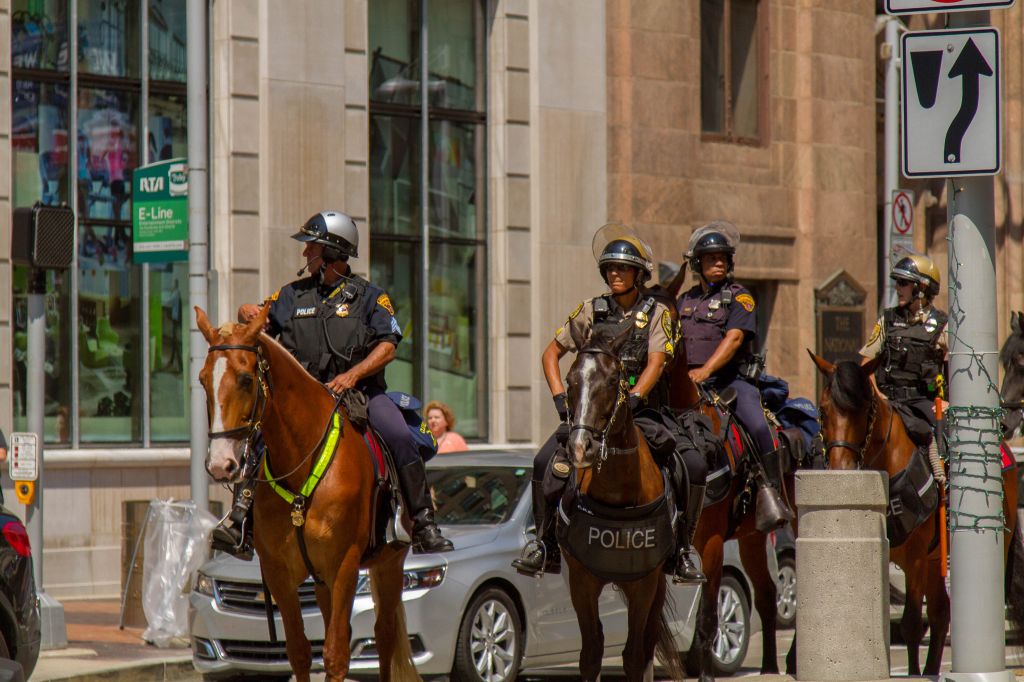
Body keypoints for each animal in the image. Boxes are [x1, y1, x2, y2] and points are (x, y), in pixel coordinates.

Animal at [195, 307, 419, 679]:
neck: (303, 462)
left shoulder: (344, 566)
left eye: (245, 379)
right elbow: (299, 651)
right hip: (322, 579)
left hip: (388, 562)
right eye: (202, 380)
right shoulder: (279, 573)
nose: (220, 464)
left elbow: (336, 653)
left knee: (384, 634)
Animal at [561, 323, 688, 679]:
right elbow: (591, 652)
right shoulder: (581, 580)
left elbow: (633, 654)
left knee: (646, 643)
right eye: (570, 381)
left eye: (611, 380)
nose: (580, 447)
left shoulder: (644, 582)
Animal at [659, 329, 794, 679]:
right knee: (767, 594)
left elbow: (708, 618)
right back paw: (770, 667)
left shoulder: (712, 544)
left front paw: (706, 674)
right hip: (752, 537)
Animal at [806, 352, 1024, 671]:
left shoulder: (916, 558)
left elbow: (910, 624)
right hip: (935, 561)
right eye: (823, 410)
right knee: (941, 612)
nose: (840, 469)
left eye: (864, 410)